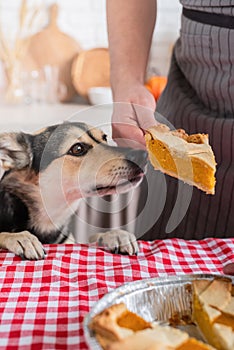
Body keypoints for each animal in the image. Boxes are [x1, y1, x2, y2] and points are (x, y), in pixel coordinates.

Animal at [0, 122, 146, 260]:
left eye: (105, 138)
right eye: (77, 149)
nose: (144, 155)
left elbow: (89, 239)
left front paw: (115, 235)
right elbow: (3, 234)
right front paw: (21, 238)